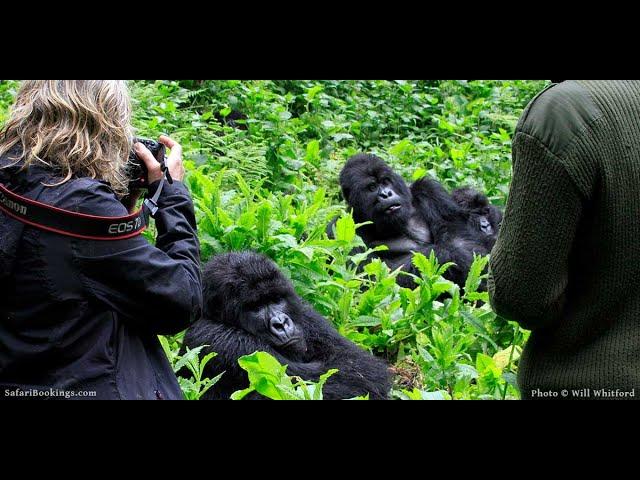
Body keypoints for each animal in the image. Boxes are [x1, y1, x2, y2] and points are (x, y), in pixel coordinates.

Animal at [179, 251, 390, 402]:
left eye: (276, 299)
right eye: (256, 307)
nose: (280, 323)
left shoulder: (306, 314)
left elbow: (358, 366)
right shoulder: (221, 340)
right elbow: (292, 384)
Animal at [330, 154, 504, 288]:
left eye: (385, 181)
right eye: (372, 187)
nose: (386, 194)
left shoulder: (429, 190)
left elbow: (461, 240)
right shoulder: (340, 228)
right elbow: (366, 279)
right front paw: (447, 255)